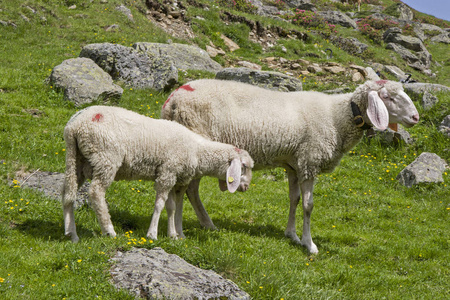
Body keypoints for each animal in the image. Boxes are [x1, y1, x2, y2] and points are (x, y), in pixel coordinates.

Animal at [61, 104, 253, 243]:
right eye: (243, 166)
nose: (246, 187)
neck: (197, 150)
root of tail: (74, 126)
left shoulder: (177, 179)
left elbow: (175, 207)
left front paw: (176, 235)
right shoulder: (167, 173)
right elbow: (161, 205)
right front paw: (153, 234)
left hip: (77, 159)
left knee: (68, 193)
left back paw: (72, 234)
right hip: (105, 158)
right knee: (96, 193)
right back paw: (109, 230)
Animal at [163, 79, 422, 253]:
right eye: (388, 97)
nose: (416, 118)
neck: (338, 117)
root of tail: (173, 98)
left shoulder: (295, 164)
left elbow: (294, 199)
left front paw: (292, 235)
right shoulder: (310, 161)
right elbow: (308, 205)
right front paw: (309, 244)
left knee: (189, 189)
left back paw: (204, 224)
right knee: (189, 189)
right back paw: (191, 229)